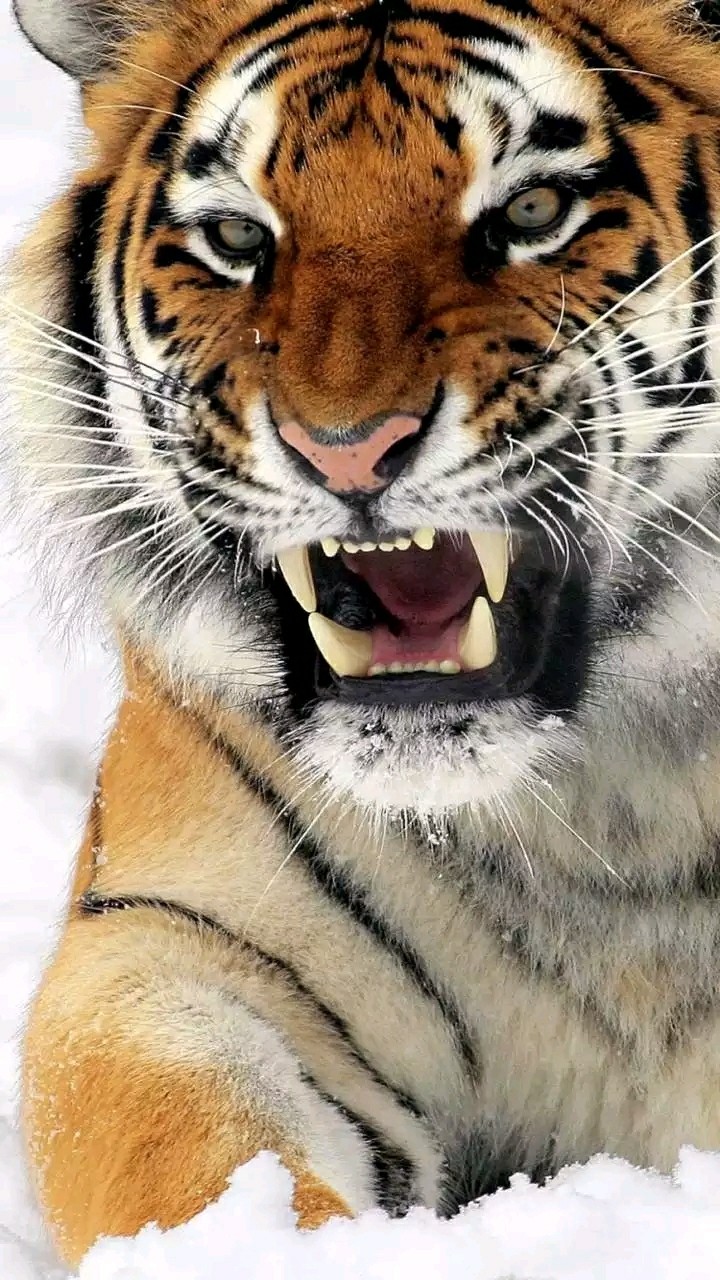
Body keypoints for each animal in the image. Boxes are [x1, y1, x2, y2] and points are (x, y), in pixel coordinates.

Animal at [6, 0, 720, 1266]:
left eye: (532, 211)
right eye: (237, 236)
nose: (344, 451)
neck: (613, 813)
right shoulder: (166, 942)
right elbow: (193, 1154)